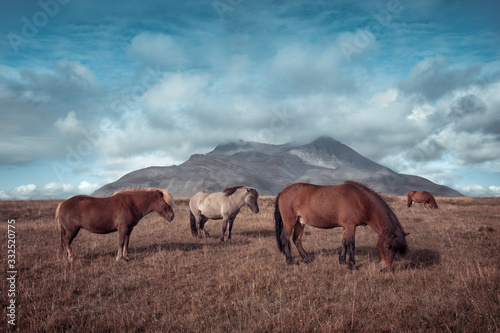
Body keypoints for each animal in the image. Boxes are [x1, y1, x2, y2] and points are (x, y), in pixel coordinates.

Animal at [276, 180, 408, 268]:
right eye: (388, 246)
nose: (386, 268)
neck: (361, 200)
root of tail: (282, 192)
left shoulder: (346, 226)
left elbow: (344, 242)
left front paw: (342, 261)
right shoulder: (351, 226)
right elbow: (351, 244)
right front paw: (351, 264)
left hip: (300, 222)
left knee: (297, 240)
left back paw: (307, 259)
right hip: (290, 221)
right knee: (285, 238)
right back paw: (290, 261)